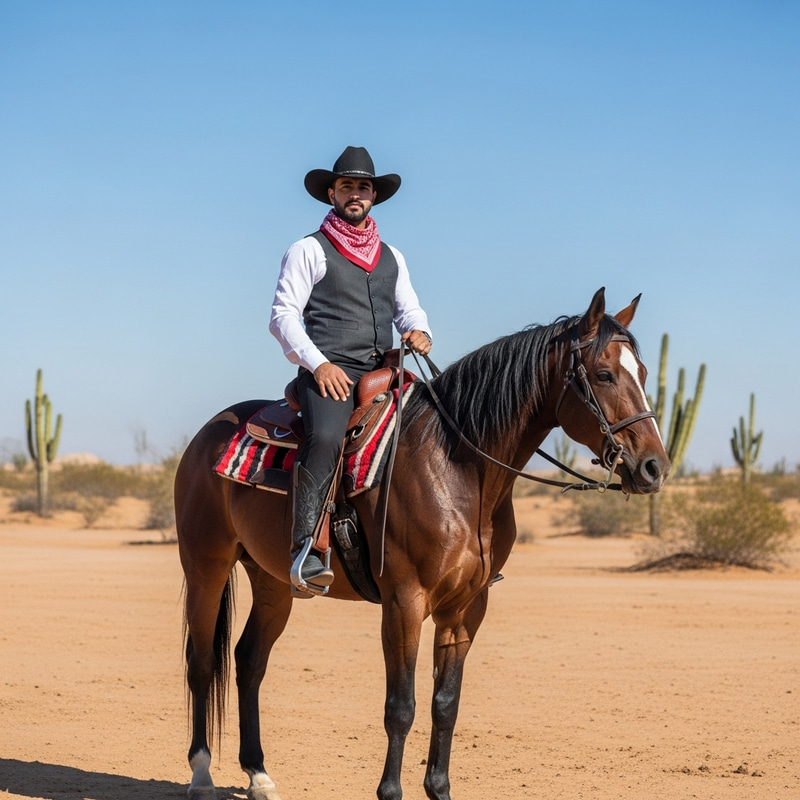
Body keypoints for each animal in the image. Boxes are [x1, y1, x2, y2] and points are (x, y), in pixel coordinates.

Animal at [175, 287, 669, 800]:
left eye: (644, 373)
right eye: (604, 375)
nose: (654, 467)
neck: (458, 468)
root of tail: (206, 435)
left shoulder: (466, 607)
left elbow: (445, 703)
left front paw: (439, 788)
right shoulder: (404, 602)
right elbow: (402, 706)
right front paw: (390, 791)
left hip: (272, 580)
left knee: (249, 661)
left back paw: (258, 774)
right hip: (206, 566)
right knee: (201, 662)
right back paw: (201, 773)